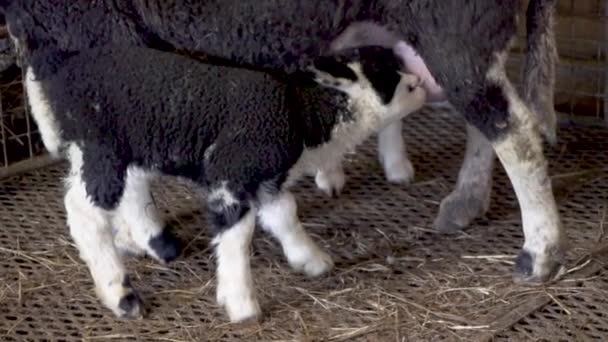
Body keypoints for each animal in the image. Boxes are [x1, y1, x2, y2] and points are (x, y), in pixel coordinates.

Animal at [22, 40, 428, 320]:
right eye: (399, 84)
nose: (423, 85)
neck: (304, 113)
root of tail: (62, 73)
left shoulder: (266, 178)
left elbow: (285, 214)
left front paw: (311, 260)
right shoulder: (232, 176)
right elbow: (238, 237)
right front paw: (241, 303)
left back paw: (144, 243)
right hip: (101, 145)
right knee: (85, 211)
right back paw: (119, 293)